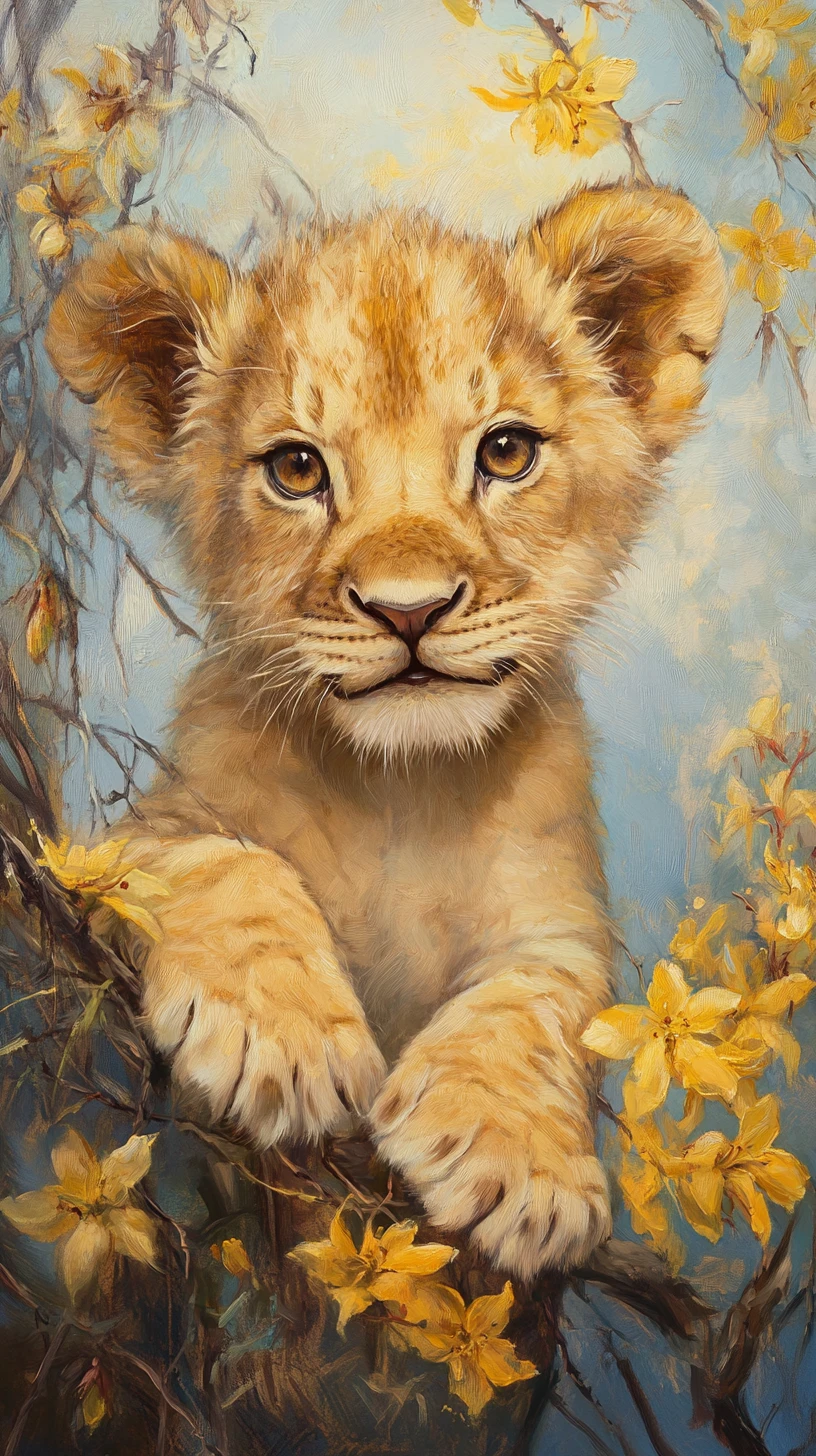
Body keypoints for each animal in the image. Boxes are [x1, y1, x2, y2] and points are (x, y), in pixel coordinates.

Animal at [46, 183, 726, 1281]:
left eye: (505, 452)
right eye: (295, 468)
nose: (409, 611)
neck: (403, 785)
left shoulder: (558, 915)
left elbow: (541, 998)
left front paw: (518, 1163)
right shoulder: (122, 837)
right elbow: (224, 862)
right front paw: (281, 1043)